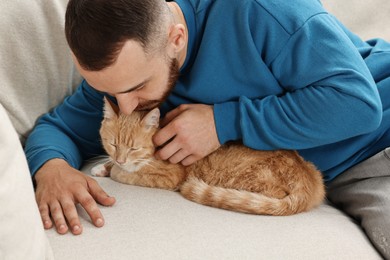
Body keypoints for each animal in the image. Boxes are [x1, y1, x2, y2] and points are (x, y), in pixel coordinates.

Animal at [93, 97, 324, 215]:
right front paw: (102, 167)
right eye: (113, 144)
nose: (121, 159)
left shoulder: (168, 177)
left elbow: (126, 174)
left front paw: (115, 170)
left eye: (134, 148)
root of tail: (308, 180)